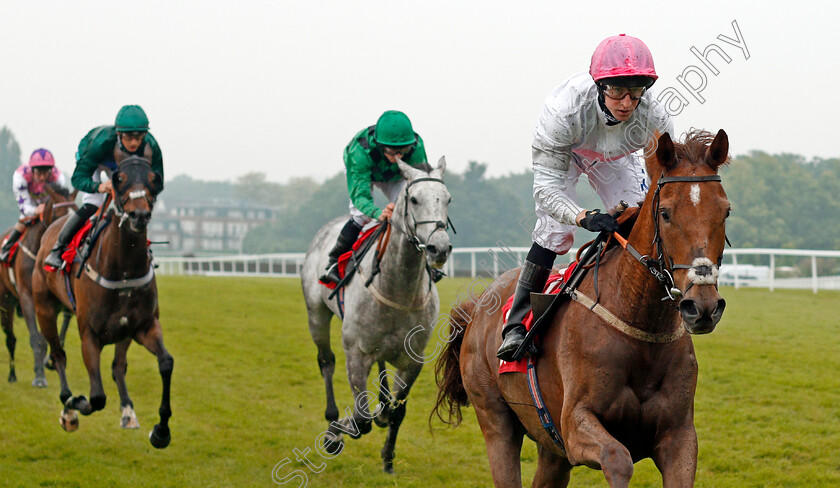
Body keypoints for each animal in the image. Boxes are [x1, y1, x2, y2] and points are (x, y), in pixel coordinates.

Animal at [0, 183, 77, 386]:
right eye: (60, 215)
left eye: (76, 212)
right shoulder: (27, 296)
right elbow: (37, 337)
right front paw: (40, 377)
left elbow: (56, 332)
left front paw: (48, 362)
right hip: (6, 302)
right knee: (10, 338)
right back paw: (12, 375)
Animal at [32, 157, 174, 450]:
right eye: (118, 179)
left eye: (154, 178)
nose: (139, 215)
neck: (123, 269)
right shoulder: (89, 335)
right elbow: (96, 397)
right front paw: (75, 403)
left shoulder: (143, 326)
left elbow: (165, 362)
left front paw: (161, 431)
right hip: (44, 310)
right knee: (58, 355)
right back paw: (68, 406)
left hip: (124, 332)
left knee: (118, 366)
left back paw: (128, 411)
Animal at [298, 156, 450, 472]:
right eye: (414, 199)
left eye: (448, 199)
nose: (438, 248)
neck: (399, 288)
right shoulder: (356, 353)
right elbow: (360, 419)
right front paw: (337, 431)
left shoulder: (413, 360)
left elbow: (396, 412)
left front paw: (388, 456)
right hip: (316, 314)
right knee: (326, 361)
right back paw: (332, 418)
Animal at [436, 131, 732, 488]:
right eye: (666, 213)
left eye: (726, 212)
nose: (702, 306)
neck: (639, 322)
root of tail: (477, 308)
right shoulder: (575, 423)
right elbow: (618, 459)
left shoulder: (680, 437)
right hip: (495, 419)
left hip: (551, 447)